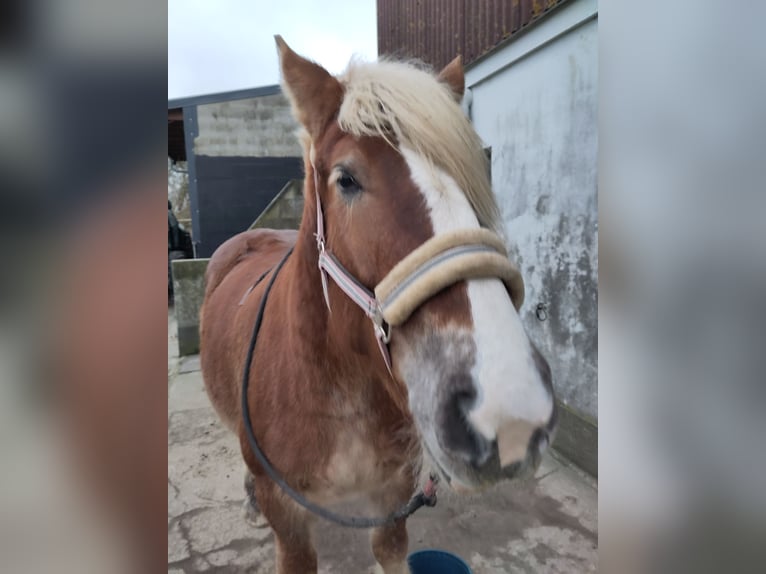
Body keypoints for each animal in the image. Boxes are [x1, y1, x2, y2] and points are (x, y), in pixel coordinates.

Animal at [200, 37, 560, 574]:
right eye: (346, 179)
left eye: (475, 174)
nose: (509, 408)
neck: (340, 392)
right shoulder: (289, 522)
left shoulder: (394, 498)